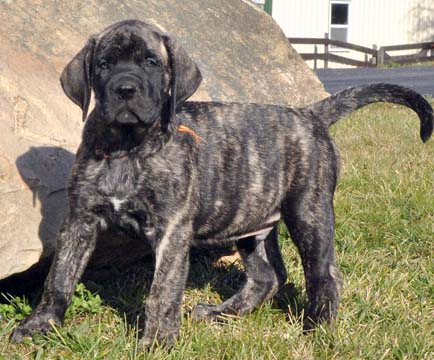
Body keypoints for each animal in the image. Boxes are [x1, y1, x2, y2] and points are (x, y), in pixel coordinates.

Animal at [11, 19, 434, 346]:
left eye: (151, 62)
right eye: (103, 64)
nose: (125, 89)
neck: (129, 146)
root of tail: (309, 114)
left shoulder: (172, 229)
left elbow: (162, 291)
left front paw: (155, 342)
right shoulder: (79, 220)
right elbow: (59, 278)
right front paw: (39, 326)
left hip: (309, 212)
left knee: (324, 273)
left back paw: (317, 330)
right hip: (251, 223)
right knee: (267, 276)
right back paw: (222, 313)